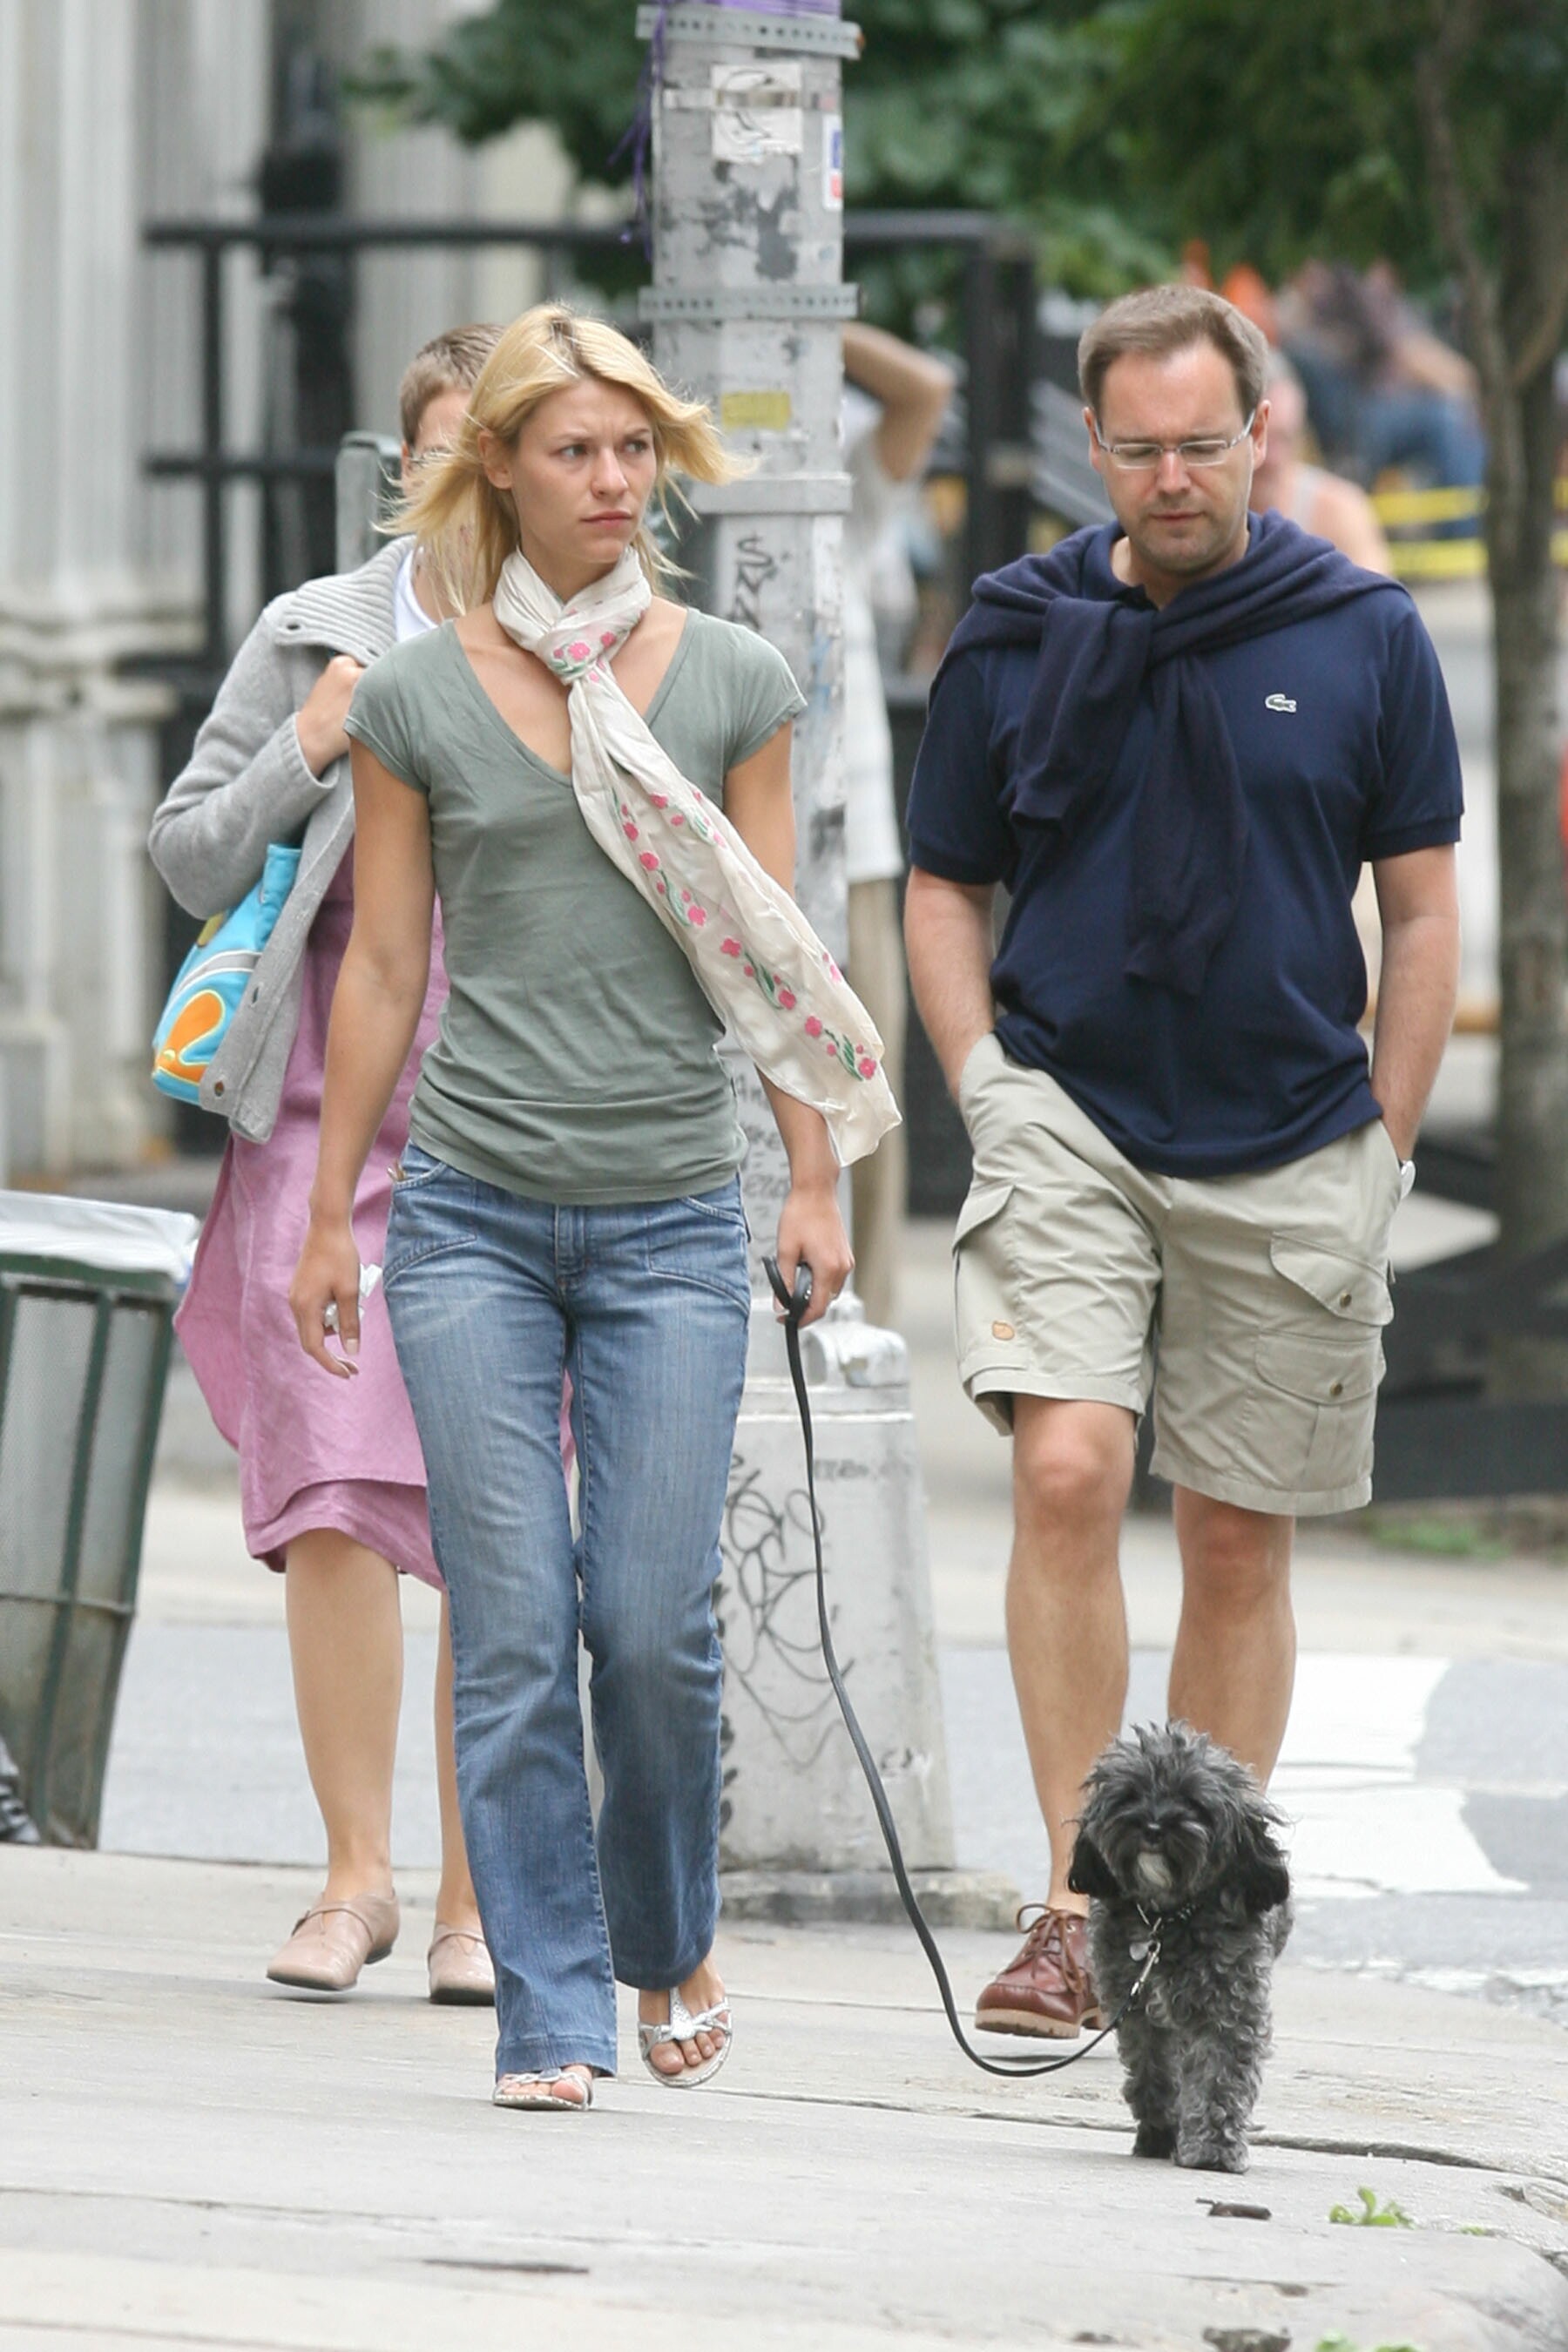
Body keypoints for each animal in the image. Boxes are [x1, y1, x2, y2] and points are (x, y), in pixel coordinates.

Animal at [1071, 1721, 1297, 2173]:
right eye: (1130, 1795)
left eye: (1193, 1801)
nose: (1153, 1827)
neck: (1166, 1918)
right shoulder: (1136, 2010)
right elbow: (1152, 2073)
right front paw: (1160, 2132)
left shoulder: (1229, 2007)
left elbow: (1219, 2077)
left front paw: (1213, 2149)